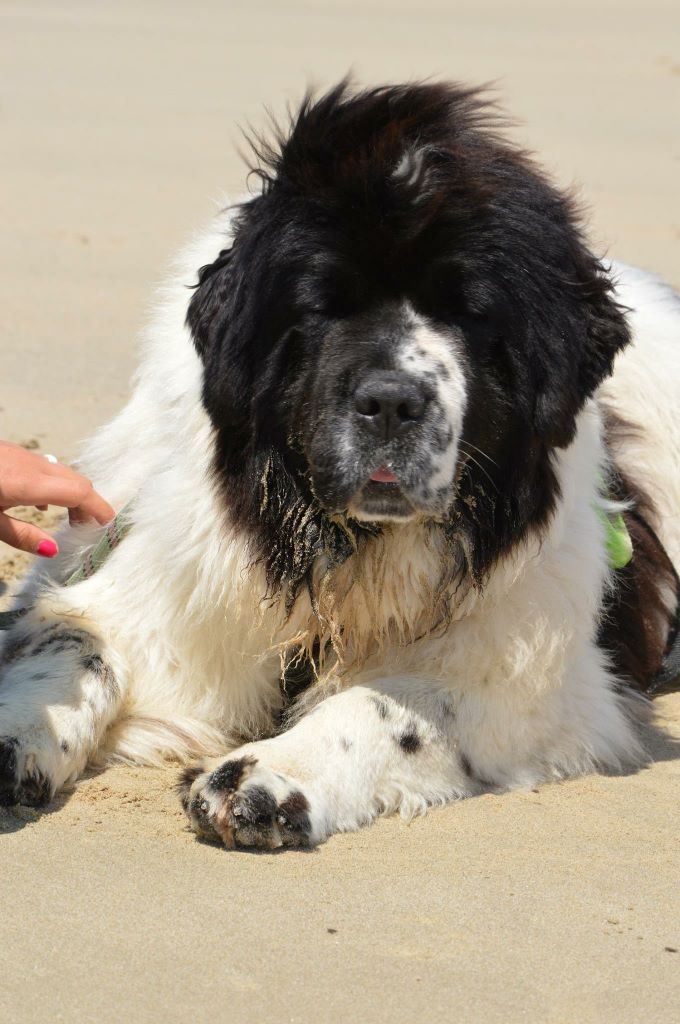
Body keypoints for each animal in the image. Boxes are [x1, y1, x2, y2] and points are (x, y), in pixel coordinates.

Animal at [1, 81, 680, 847]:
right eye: (322, 306)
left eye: (467, 315)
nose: (391, 400)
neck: (337, 554)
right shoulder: (155, 584)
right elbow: (73, 643)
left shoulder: (529, 678)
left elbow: (390, 705)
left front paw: (268, 773)